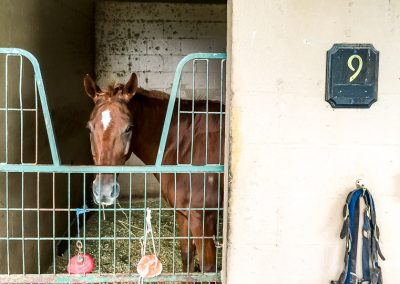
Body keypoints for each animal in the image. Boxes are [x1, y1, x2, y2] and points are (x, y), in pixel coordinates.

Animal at [83, 72, 225, 272]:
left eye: (129, 128)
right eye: (89, 128)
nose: (104, 191)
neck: (183, 144)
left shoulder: (203, 219)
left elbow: (207, 268)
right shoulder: (184, 214)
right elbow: (187, 258)